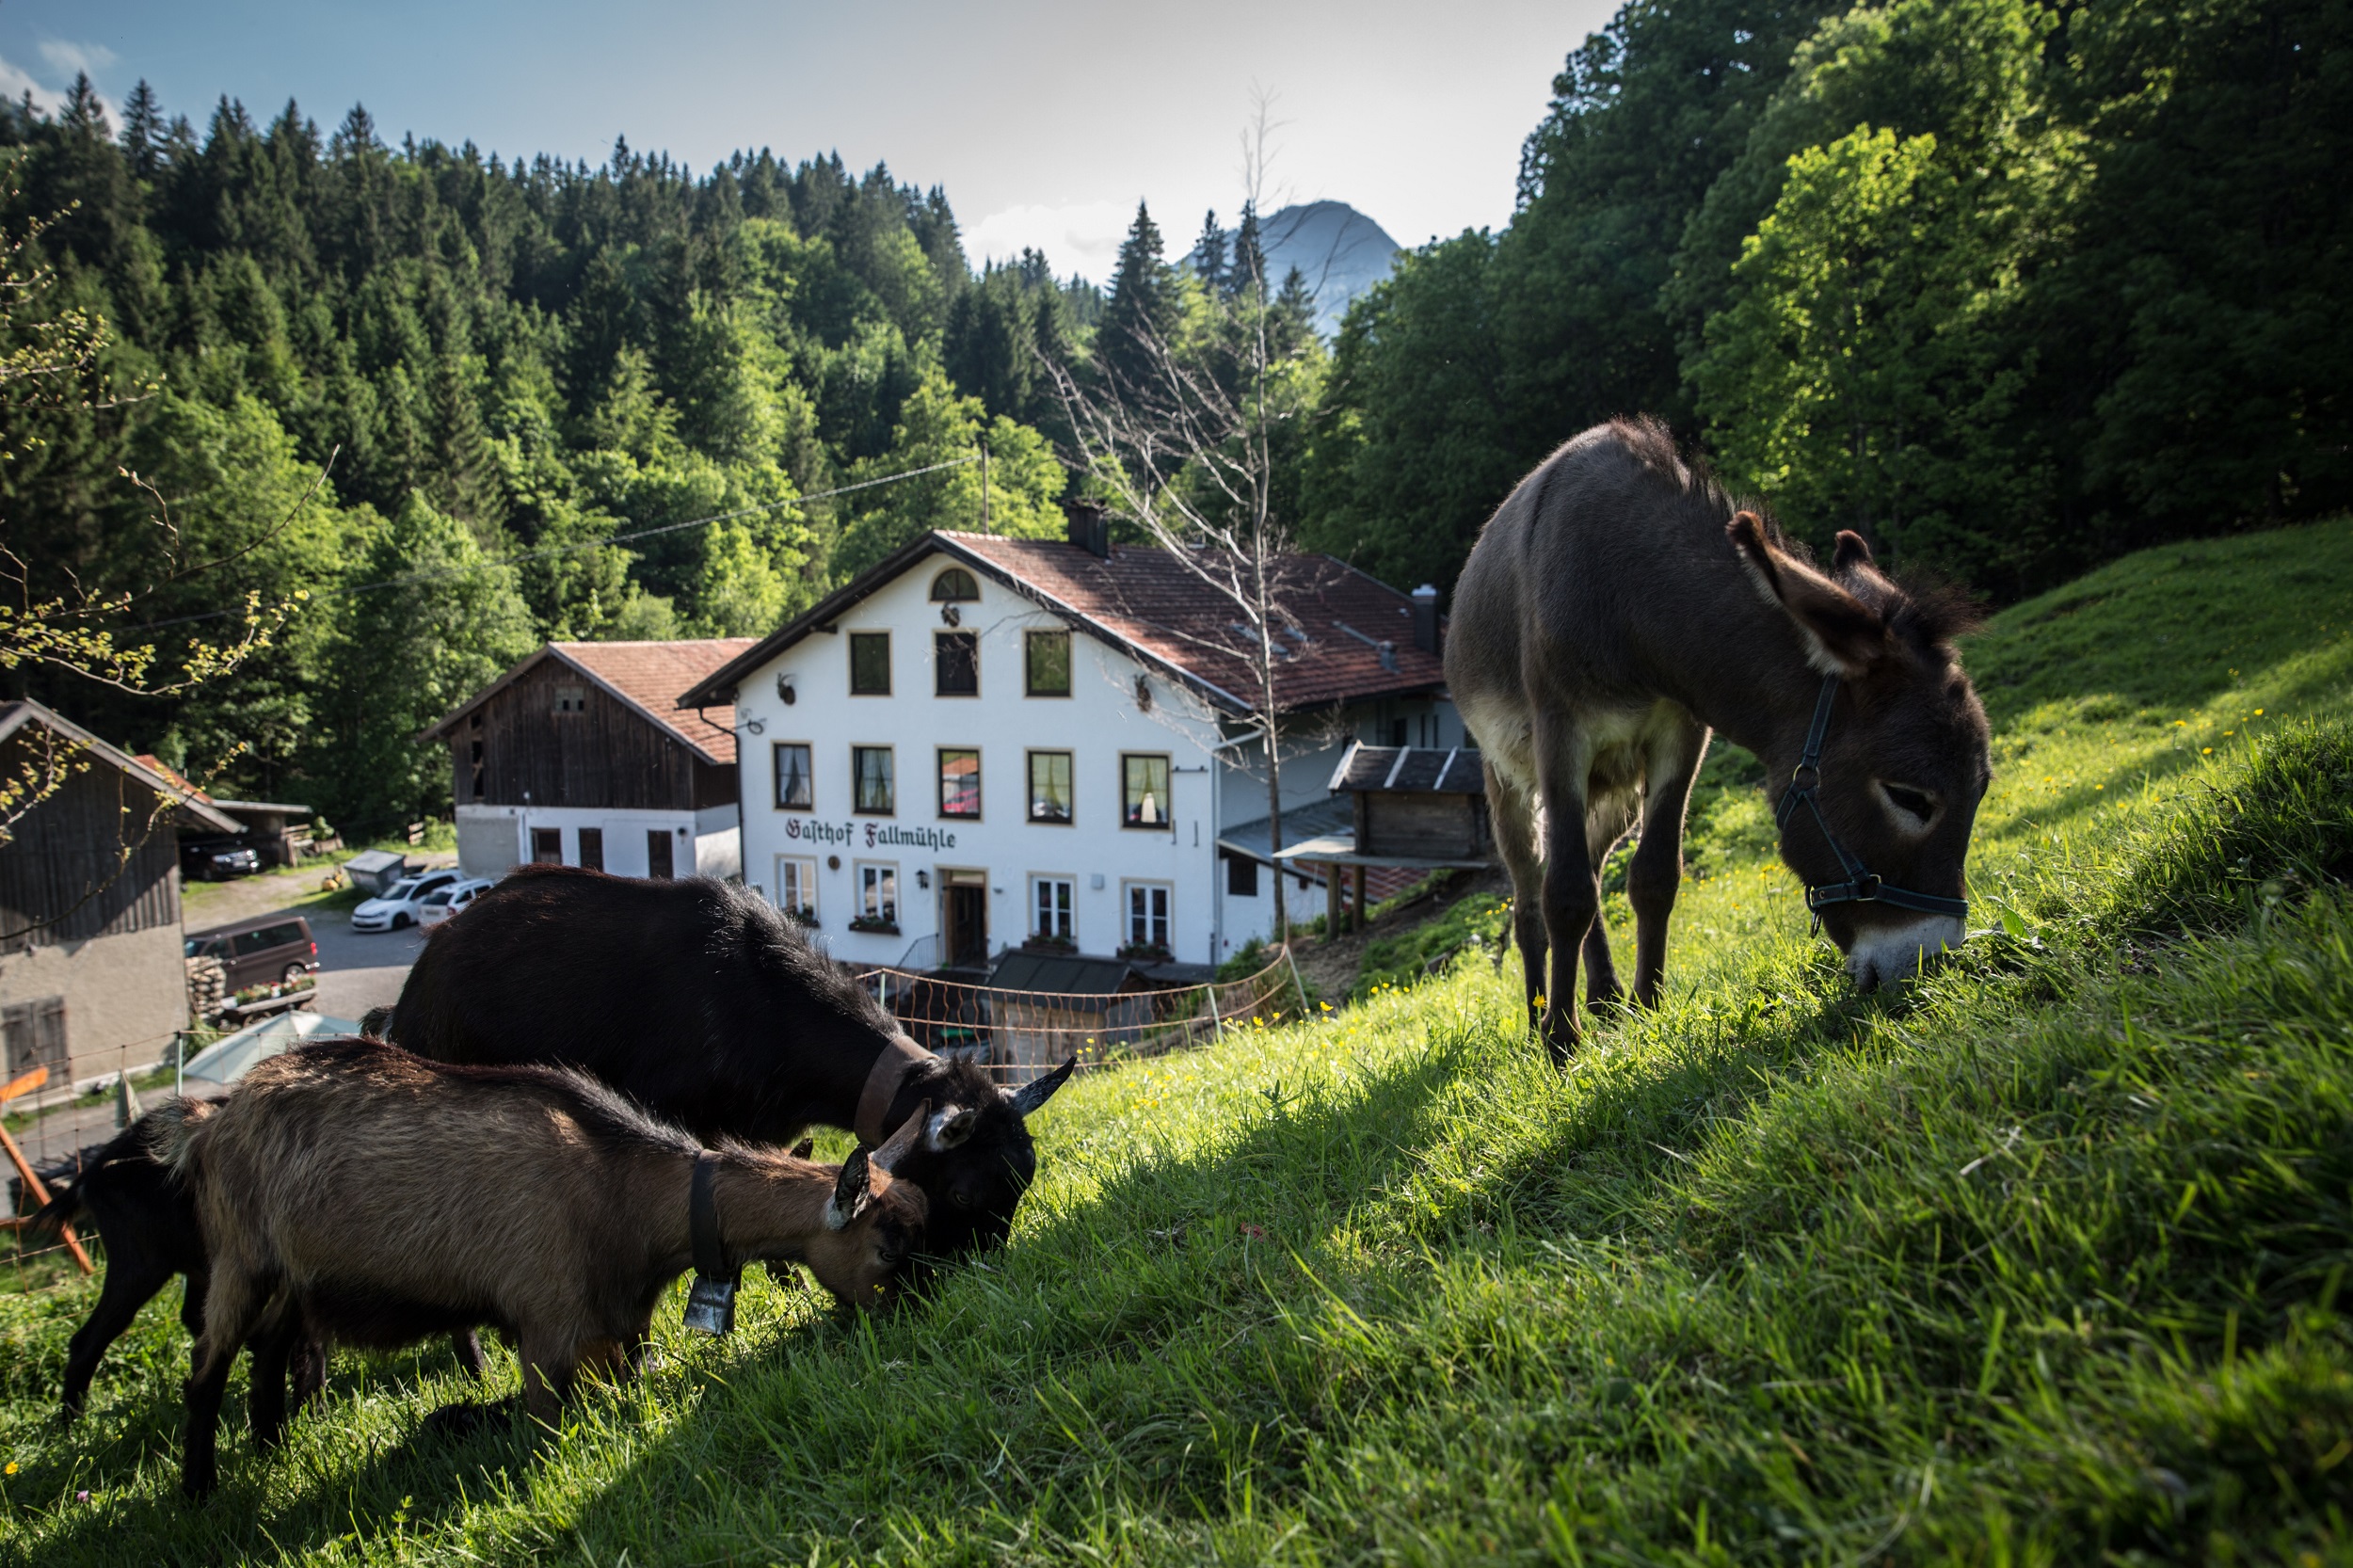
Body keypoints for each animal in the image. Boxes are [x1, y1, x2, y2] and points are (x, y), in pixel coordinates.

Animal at [166, 1035, 927, 1487]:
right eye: (887, 1244)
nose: (917, 1322)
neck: (623, 1191)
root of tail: (212, 1123)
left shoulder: (618, 1328)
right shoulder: (545, 1325)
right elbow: (544, 1437)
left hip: (292, 1279)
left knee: (268, 1351)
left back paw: (270, 1450)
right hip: (238, 1255)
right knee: (207, 1368)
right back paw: (202, 1492)